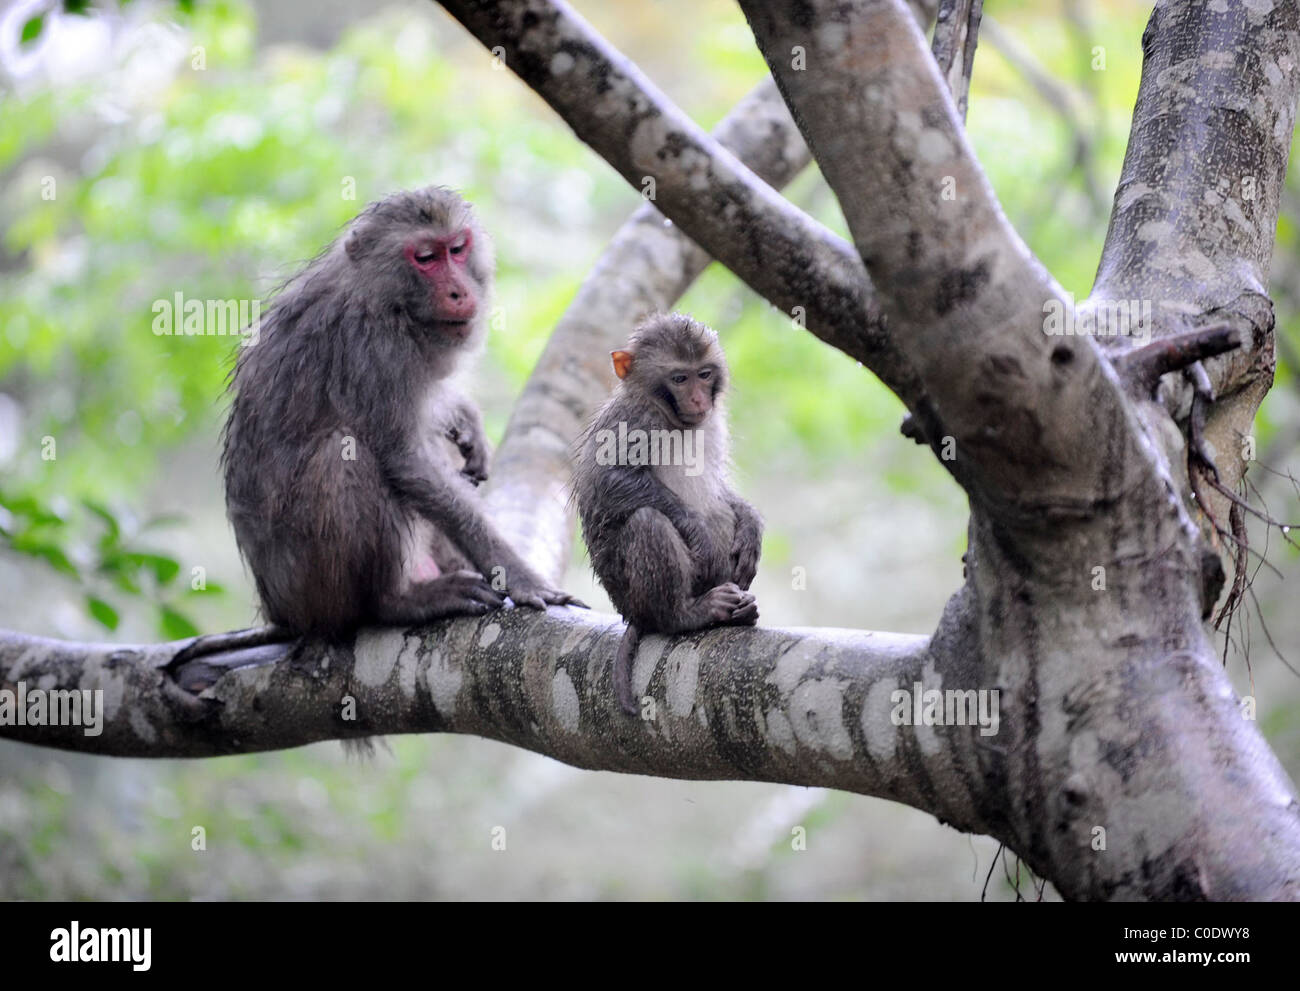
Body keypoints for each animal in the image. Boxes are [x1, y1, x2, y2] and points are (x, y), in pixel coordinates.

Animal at [222, 186, 583, 638]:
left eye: (457, 249)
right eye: (426, 258)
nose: (459, 292)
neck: (387, 300)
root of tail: (279, 613)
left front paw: (465, 417)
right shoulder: (376, 348)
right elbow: (405, 460)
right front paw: (515, 573)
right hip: (307, 590)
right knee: (343, 453)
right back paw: (396, 601)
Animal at [573, 313, 763, 715]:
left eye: (703, 374)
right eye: (679, 379)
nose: (698, 398)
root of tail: (630, 614)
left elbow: (720, 491)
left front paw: (751, 523)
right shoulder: (633, 421)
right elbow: (608, 478)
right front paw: (696, 530)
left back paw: (739, 610)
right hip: (629, 594)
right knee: (648, 522)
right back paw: (684, 615)